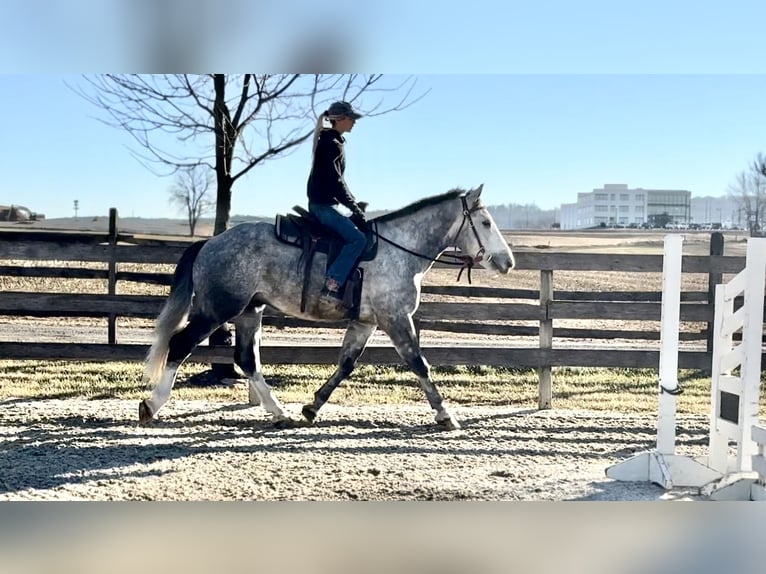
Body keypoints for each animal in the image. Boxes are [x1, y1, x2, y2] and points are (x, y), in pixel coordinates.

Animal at [139, 184, 515, 430]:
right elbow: (418, 363)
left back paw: (279, 412)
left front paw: (311, 407)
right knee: (180, 345)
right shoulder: (395, 318)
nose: (507, 262)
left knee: (247, 359)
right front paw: (445, 414)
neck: (401, 249)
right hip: (218, 310)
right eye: (485, 223)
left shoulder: (365, 323)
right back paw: (151, 405)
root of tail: (209, 242)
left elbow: (345, 364)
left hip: (250, 311)